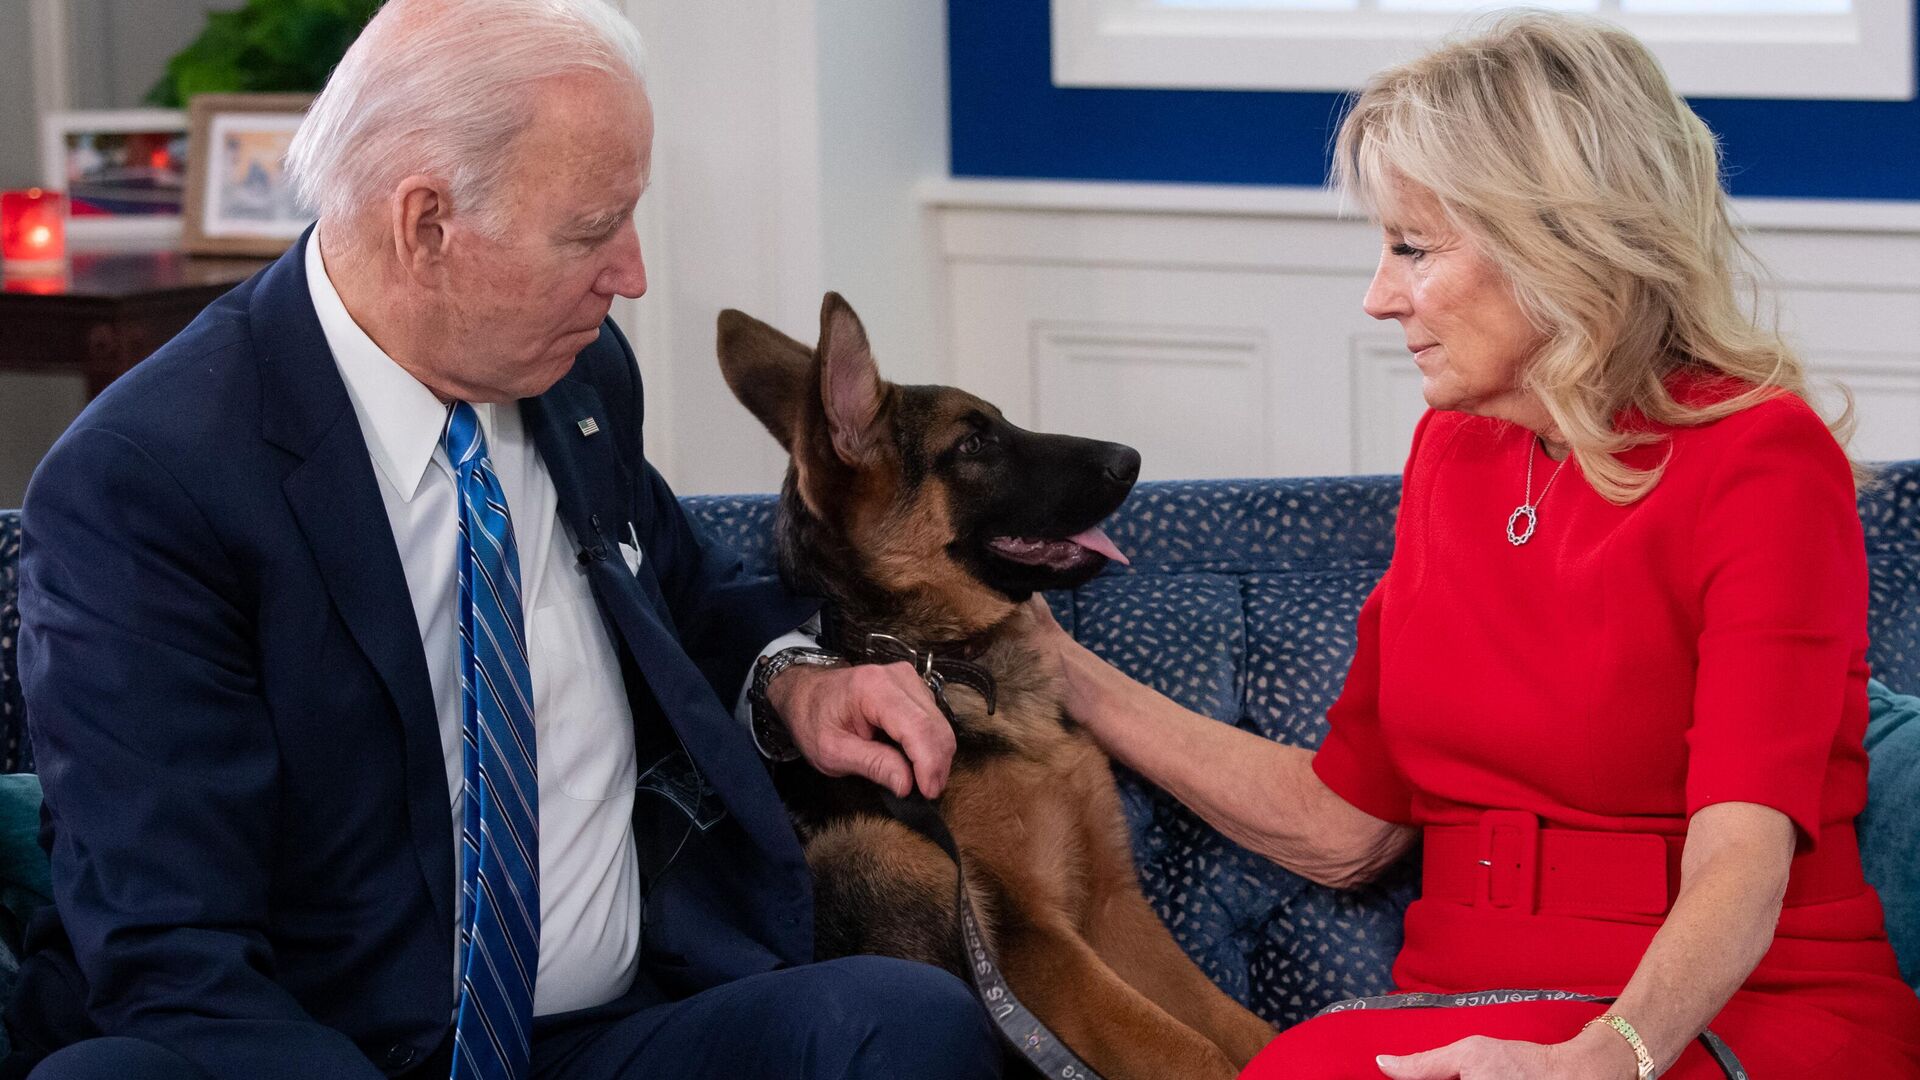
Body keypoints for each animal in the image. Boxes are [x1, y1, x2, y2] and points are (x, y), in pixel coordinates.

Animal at [718, 290, 1274, 1068]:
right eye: (974, 445)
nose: (1131, 459)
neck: (941, 657)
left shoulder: (1112, 907)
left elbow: (1240, 1028)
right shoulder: (1034, 941)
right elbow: (1193, 1051)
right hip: (885, 848)